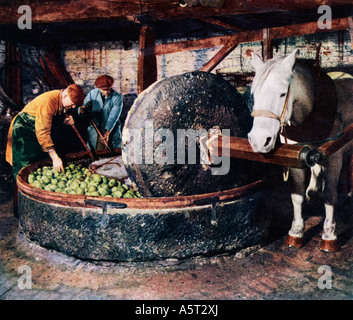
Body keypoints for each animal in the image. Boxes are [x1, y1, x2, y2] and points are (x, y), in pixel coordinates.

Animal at [246, 48, 352, 251]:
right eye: (253, 94)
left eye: (282, 94)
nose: (259, 141)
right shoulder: (296, 156)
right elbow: (297, 196)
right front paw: (296, 232)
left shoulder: (334, 158)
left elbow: (330, 195)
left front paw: (329, 235)